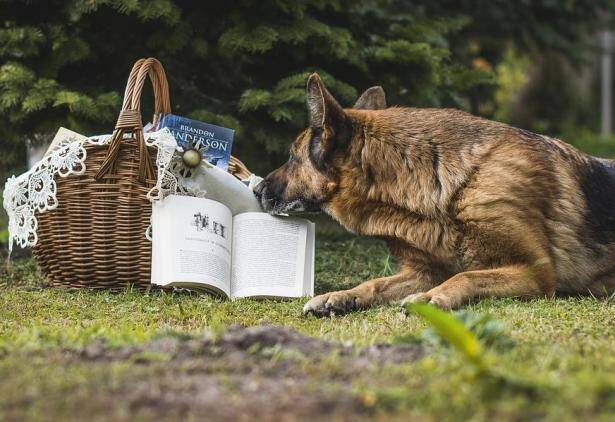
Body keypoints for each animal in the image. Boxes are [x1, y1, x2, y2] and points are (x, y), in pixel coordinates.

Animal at [255, 73, 615, 316]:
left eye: (292, 156)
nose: (257, 189)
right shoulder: (425, 272)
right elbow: (376, 282)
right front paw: (341, 296)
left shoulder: (537, 272)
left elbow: (467, 275)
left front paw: (431, 299)